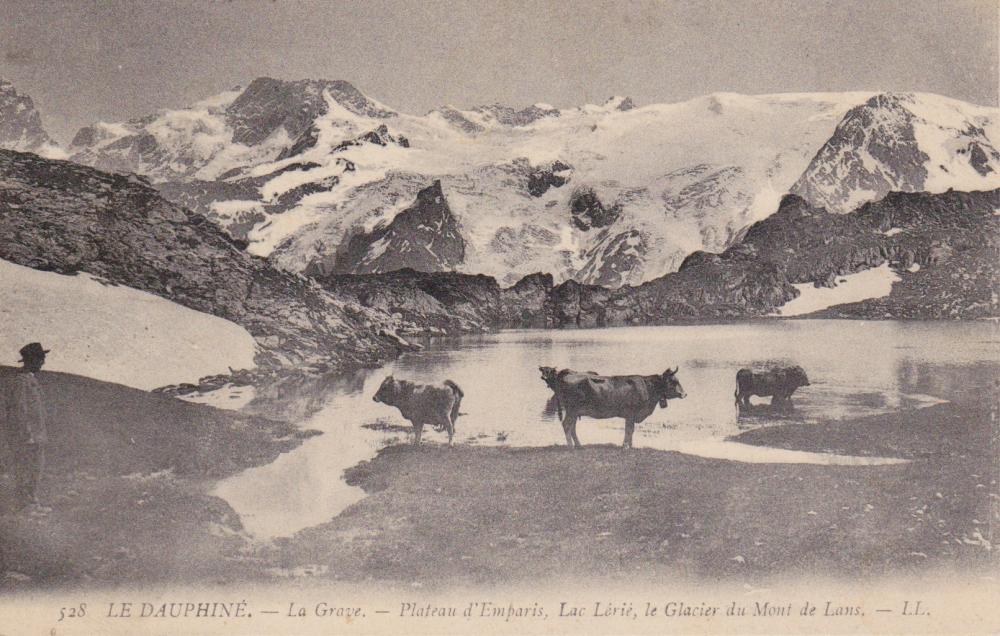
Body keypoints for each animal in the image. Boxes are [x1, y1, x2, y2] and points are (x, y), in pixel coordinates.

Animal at [548, 366, 688, 450]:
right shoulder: (631, 413)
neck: (647, 387)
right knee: (566, 425)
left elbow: (631, 430)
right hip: (572, 409)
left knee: (572, 427)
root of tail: (569, 372)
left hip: (575, 411)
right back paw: (571, 446)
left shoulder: (631, 415)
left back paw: (578, 445)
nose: (684, 394)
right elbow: (629, 430)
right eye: (674, 381)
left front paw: (630, 446)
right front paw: (625, 446)